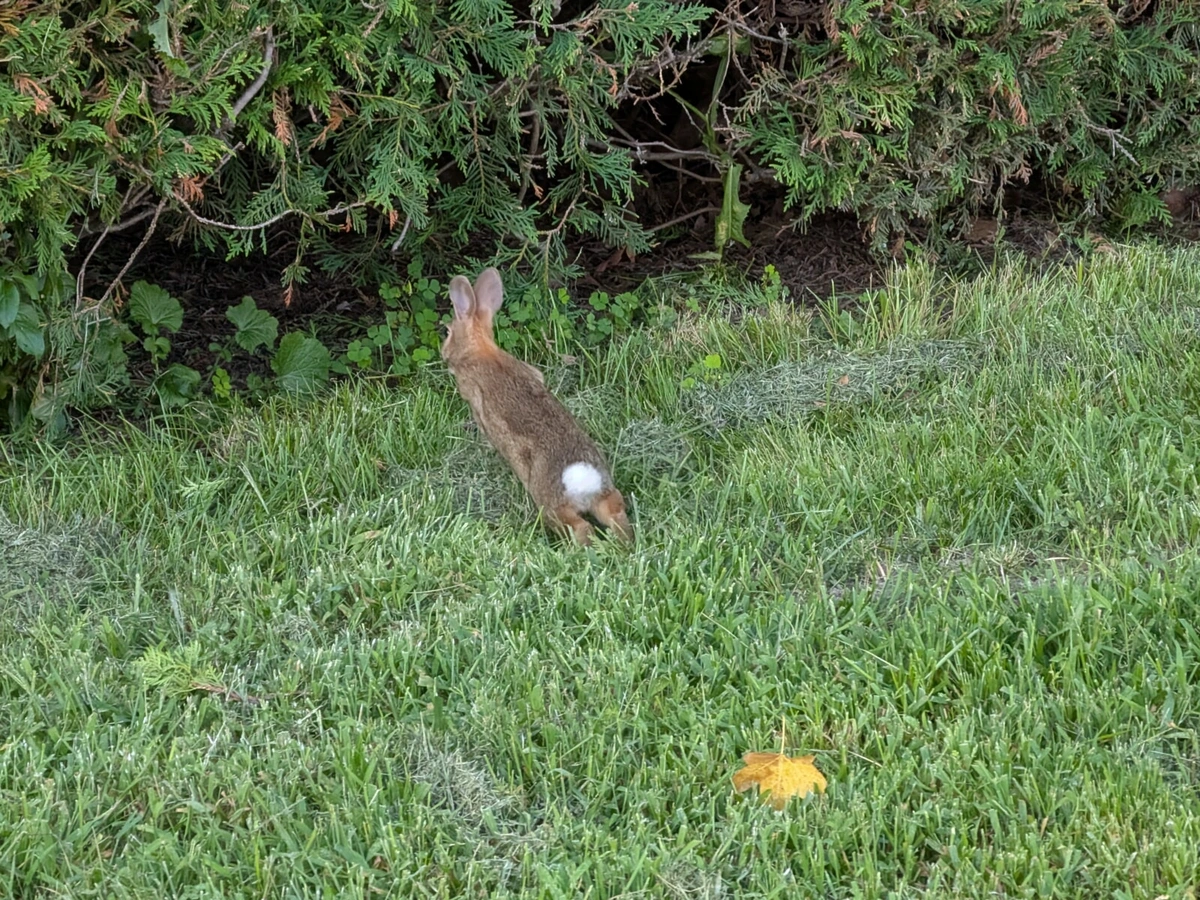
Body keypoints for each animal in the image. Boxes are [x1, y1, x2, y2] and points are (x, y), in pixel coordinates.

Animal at [440, 267, 633, 546]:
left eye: (447, 332)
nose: (443, 353)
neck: (479, 350)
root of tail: (581, 476)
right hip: (606, 497)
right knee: (615, 512)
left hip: (550, 504)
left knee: (579, 527)